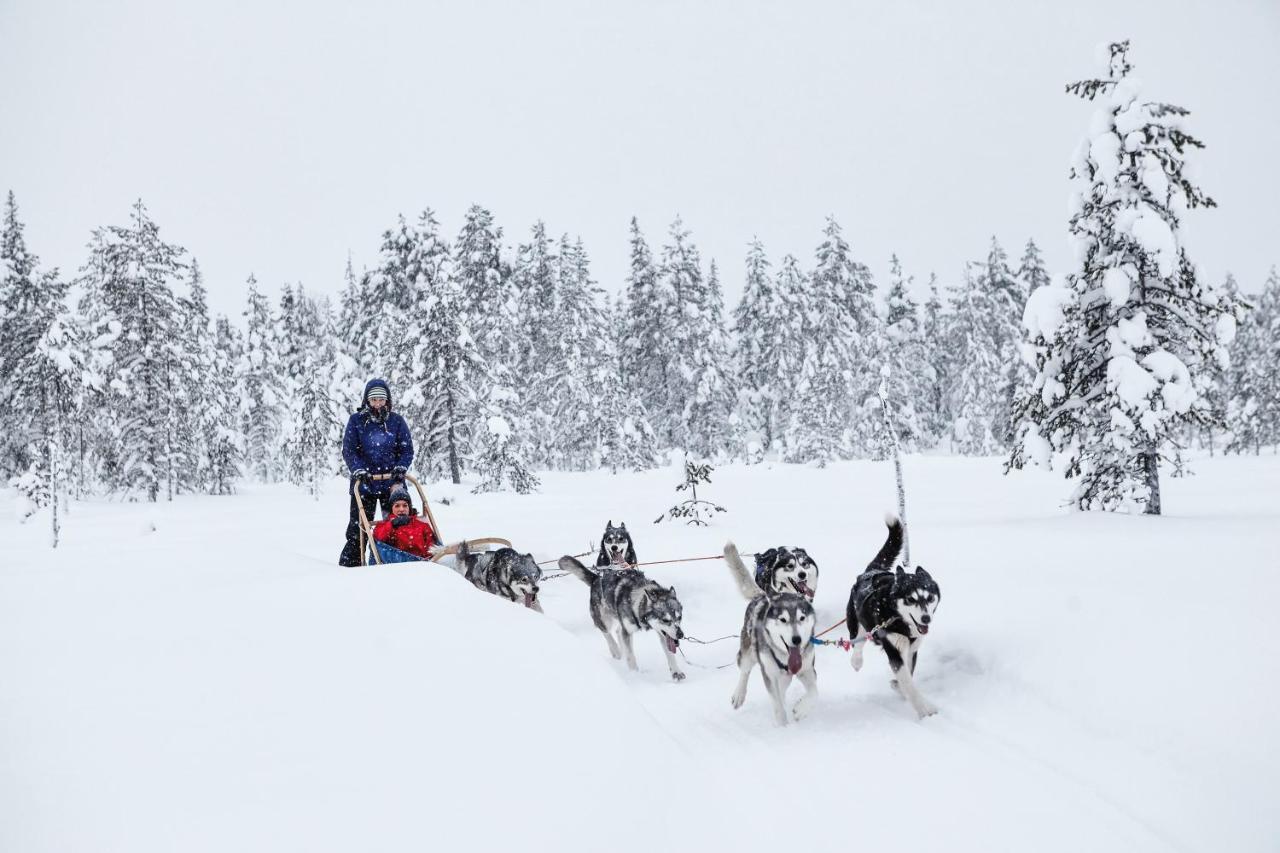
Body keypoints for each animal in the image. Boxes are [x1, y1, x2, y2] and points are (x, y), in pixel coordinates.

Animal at [558, 555, 686, 681]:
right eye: (665, 620)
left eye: (679, 617)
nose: (681, 634)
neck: (637, 600)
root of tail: (596, 579)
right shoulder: (628, 632)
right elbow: (631, 656)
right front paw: (635, 675)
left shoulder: (662, 632)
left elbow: (670, 653)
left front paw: (676, 672)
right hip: (604, 620)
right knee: (606, 633)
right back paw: (616, 650)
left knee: (617, 631)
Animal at [732, 591, 819, 722]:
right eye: (783, 619)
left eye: (802, 618)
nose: (797, 639)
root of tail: (761, 594)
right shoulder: (769, 674)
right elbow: (777, 705)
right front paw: (783, 724)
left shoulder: (807, 670)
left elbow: (814, 693)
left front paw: (801, 710)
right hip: (748, 653)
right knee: (745, 671)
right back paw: (739, 694)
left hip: (786, 676)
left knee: (782, 689)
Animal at [844, 514, 947, 712]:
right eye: (911, 599)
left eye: (930, 598)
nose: (926, 618)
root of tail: (870, 572)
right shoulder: (893, 649)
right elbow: (908, 683)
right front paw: (925, 710)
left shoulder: (912, 650)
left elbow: (908, 675)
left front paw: (897, 686)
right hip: (856, 623)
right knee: (857, 643)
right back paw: (856, 661)